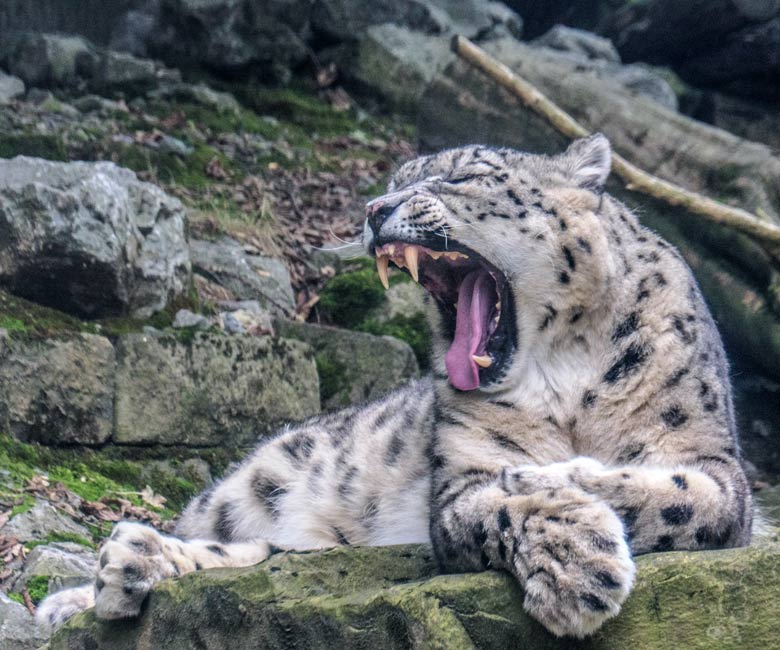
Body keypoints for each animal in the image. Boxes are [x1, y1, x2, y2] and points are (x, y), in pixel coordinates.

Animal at [39, 134, 752, 636]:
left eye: (464, 174)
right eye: (391, 184)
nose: (375, 209)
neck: (562, 374)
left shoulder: (713, 462)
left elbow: (681, 499)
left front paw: (565, 485)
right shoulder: (461, 480)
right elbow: (508, 500)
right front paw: (579, 565)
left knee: (269, 554)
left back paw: (131, 563)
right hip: (255, 481)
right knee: (230, 536)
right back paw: (112, 573)